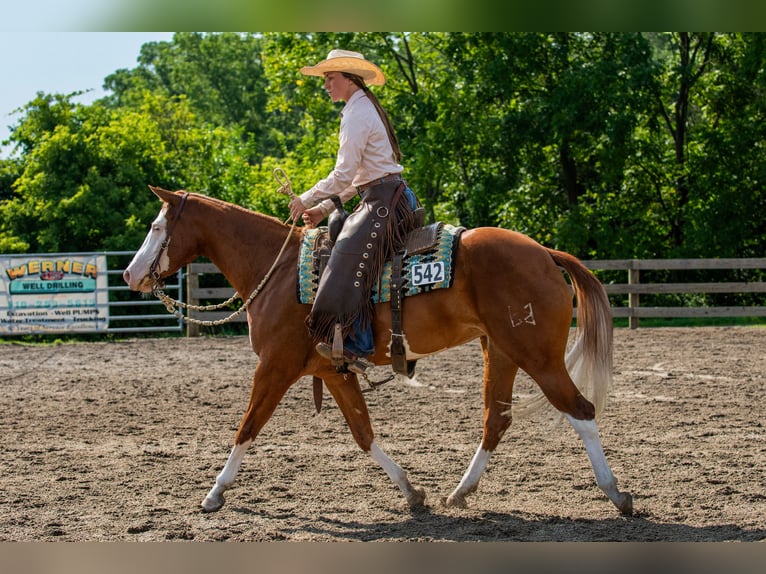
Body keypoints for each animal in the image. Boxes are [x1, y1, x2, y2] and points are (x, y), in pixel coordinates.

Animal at [123, 186, 633, 516]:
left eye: (156, 225)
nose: (129, 274)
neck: (279, 270)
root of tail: (545, 253)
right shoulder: (331, 371)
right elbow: (363, 433)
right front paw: (411, 492)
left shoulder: (275, 367)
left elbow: (247, 427)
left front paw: (214, 493)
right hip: (501, 351)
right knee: (496, 419)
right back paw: (459, 492)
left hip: (538, 355)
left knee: (580, 409)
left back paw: (617, 494)